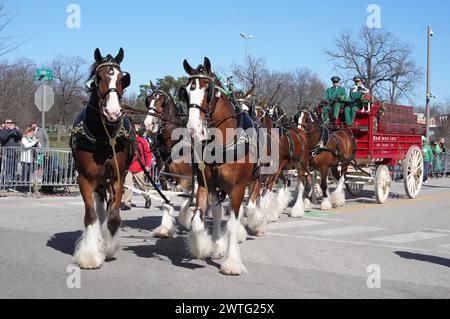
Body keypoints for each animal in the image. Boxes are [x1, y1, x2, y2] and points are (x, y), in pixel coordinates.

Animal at [69, 48, 131, 270]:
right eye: (99, 77)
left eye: (122, 79)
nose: (113, 112)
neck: (104, 136)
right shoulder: (85, 178)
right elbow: (91, 216)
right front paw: (89, 255)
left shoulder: (118, 178)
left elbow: (113, 218)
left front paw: (108, 246)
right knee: (98, 208)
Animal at [178, 58, 256, 278]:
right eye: (185, 92)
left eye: (208, 91)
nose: (193, 129)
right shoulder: (206, 184)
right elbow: (199, 219)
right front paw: (205, 247)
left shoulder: (238, 188)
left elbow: (232, 224)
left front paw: (232, 263)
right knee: (219, 212)